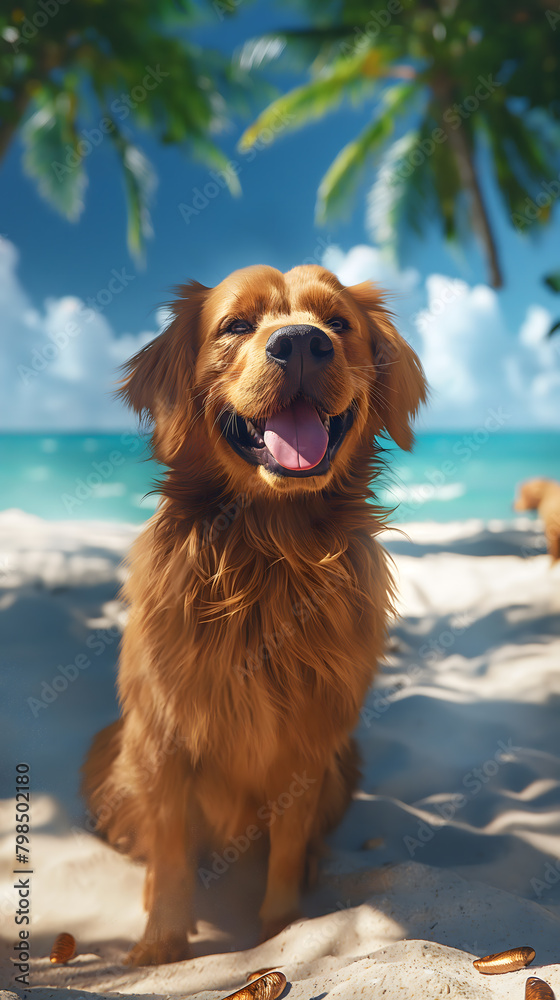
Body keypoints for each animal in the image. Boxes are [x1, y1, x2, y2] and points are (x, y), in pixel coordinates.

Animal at [81, 264, 426, 960]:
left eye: (338, 323)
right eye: (236, 325)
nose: (301, 343)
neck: (270, 554)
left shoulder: (308, 745)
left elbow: (287, 848)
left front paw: (282, 930)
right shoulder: (162, 736)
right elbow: (171, 847)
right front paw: (161, 944)